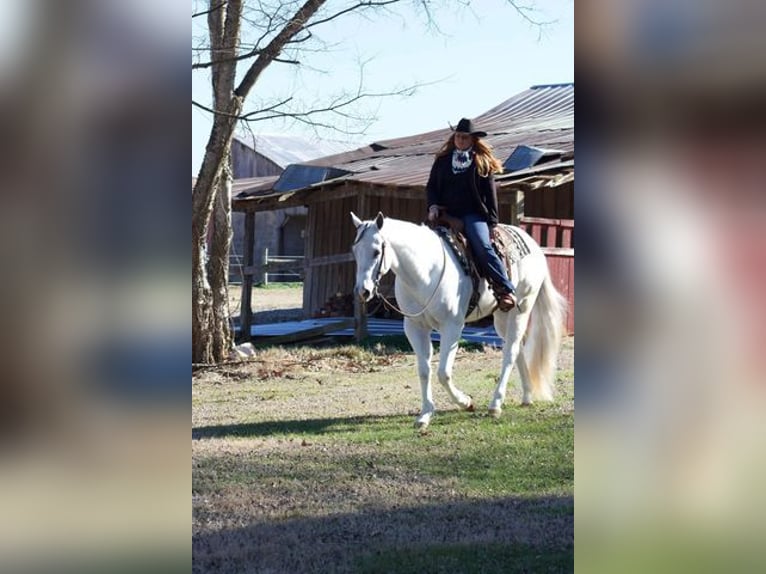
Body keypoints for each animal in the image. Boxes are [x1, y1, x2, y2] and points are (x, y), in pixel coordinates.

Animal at [352, 212, 568, 428]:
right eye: (355, 251)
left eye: (376, 251)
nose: (363, 291)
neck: (426, 272)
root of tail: (532, 244)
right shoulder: (415, 327)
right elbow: (424, 370)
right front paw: (425, 414)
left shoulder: (452, 327)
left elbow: (443, 373)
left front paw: (466, 402)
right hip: (501, 316)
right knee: (517, 348)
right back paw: (527, 396)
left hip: (521, 309)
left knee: (510, 351)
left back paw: (495, 404)